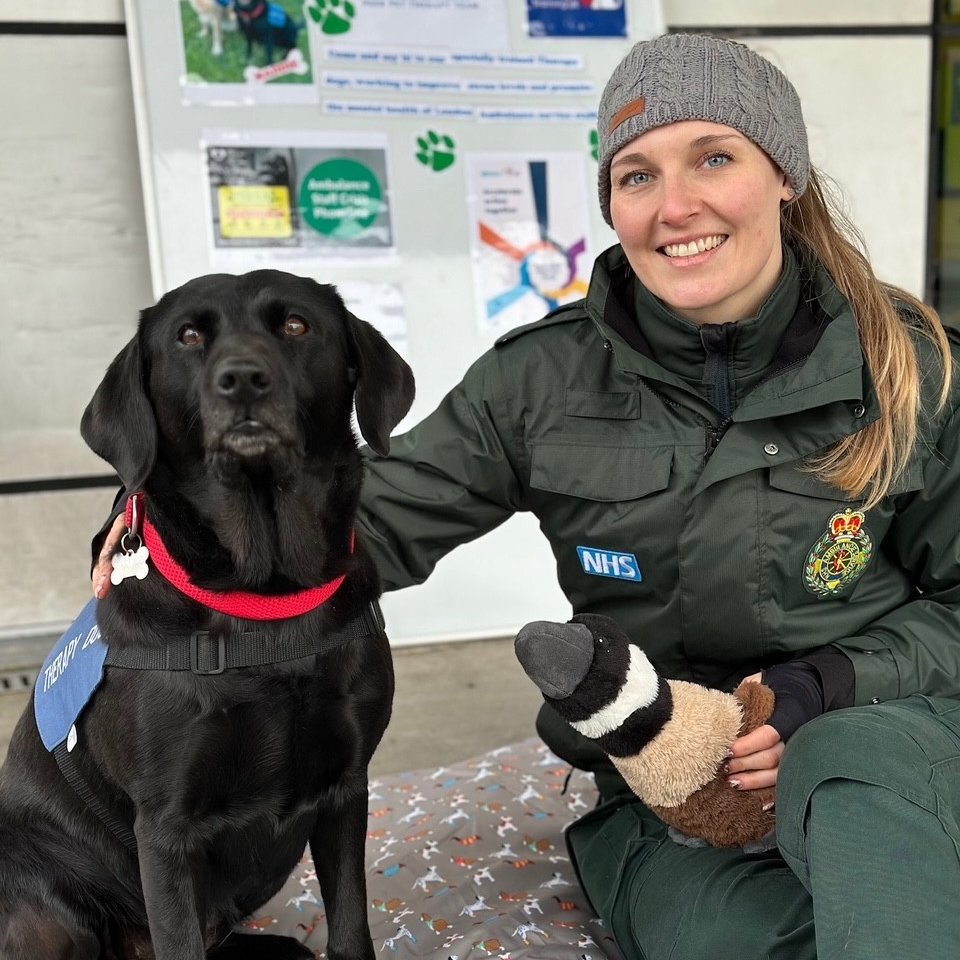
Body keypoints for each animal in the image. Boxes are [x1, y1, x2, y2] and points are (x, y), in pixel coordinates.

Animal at [0, 270, 414, 960]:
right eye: (189, 337)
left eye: (296, 325)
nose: (243, 378)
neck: (262, 596)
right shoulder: (166, 830)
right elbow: (179, 938)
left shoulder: (345, 787)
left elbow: (351, 926)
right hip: (45, 907)